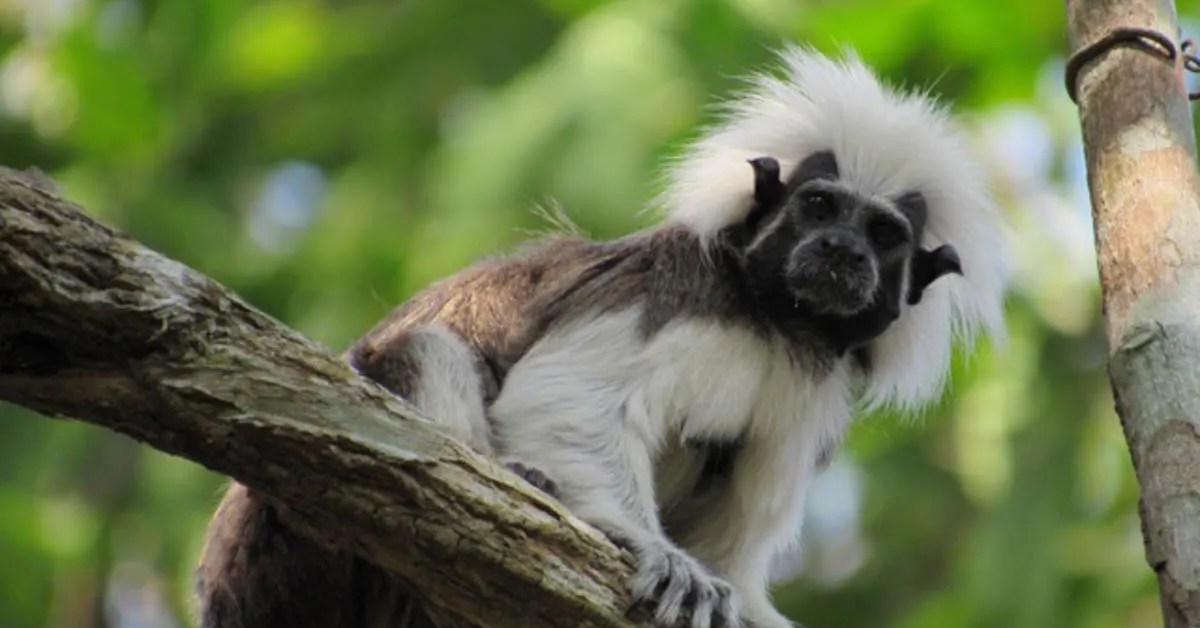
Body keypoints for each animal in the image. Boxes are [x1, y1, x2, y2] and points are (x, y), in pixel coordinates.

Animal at [196, 48, 1003, 628]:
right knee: (420, 352)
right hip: (293, 545)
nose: (841, 252)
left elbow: (737, 526)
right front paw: (651, 549)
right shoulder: (666, 297)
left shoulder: (811, 393)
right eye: (819, 207)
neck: (773, 323)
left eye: (883, 235)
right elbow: (572, 402)